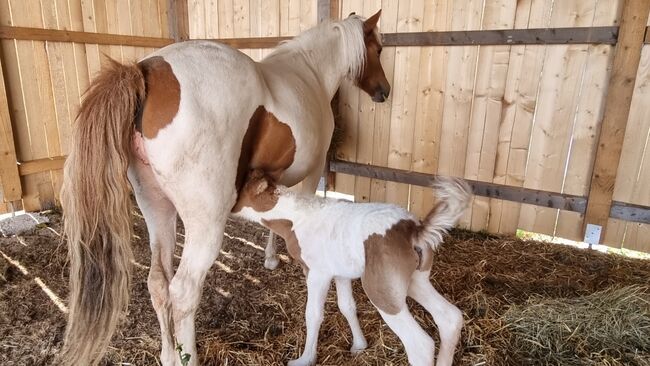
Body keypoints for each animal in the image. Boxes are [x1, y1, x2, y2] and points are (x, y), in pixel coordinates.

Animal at [233, 171, 470, 366]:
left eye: (240, 186)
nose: (229, 206)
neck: (297, 219)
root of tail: (414, 231)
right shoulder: (341, 273)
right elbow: (347, 306)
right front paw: (359, 345)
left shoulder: (318, 273)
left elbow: (313, 314)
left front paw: (305, 359)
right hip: (416, 281)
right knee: (450, 318)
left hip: (382, 293)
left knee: (420, 345)